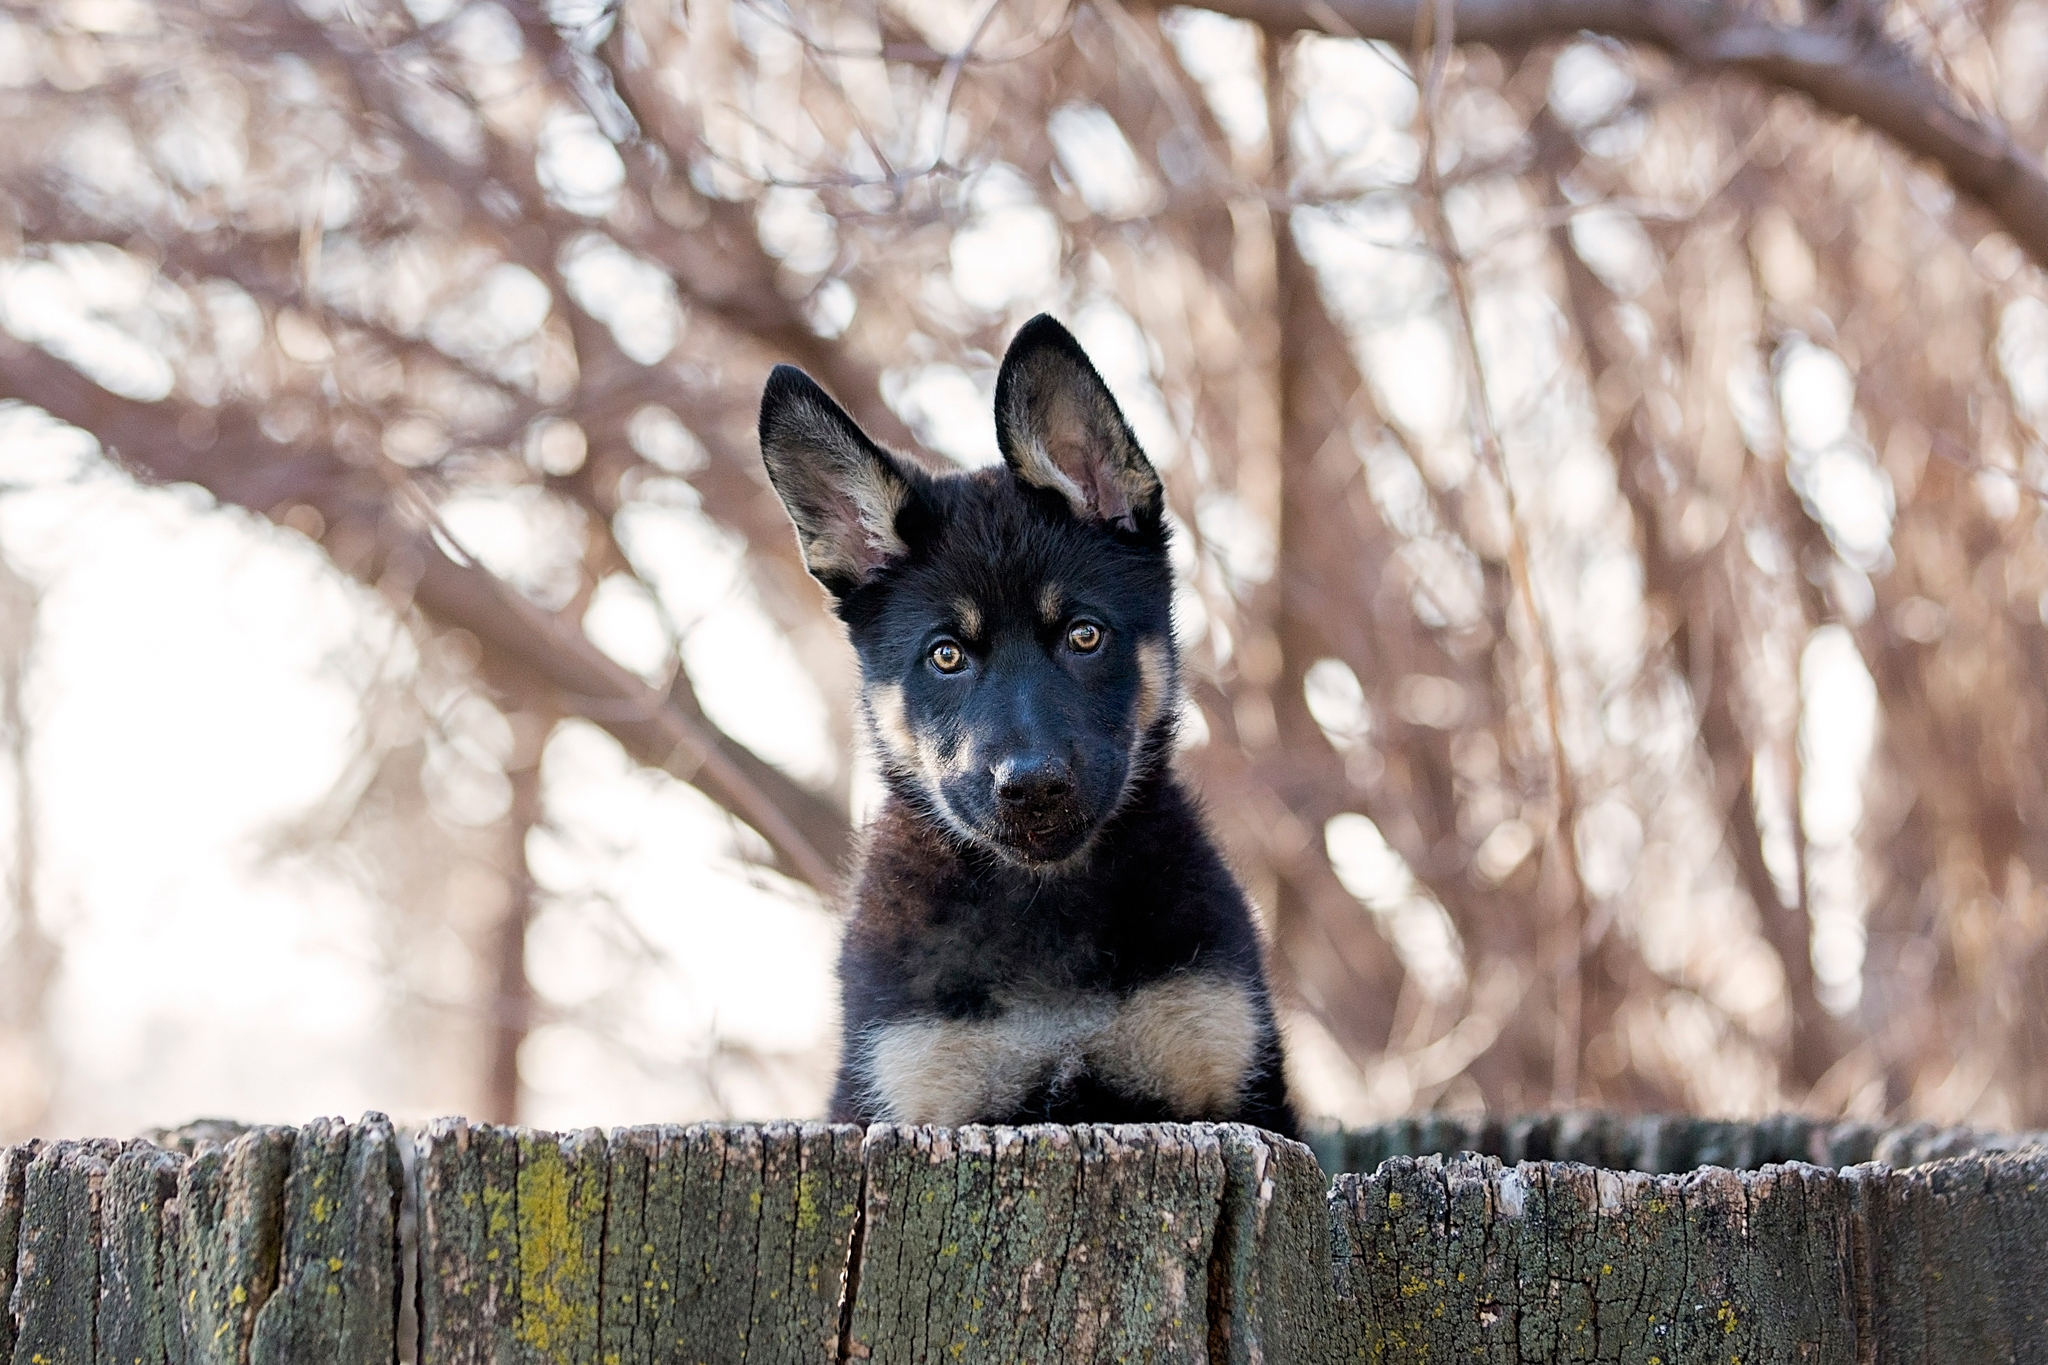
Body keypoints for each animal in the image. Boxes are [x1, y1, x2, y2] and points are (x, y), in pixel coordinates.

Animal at [753, 315, 1294, 1137]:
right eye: (946, 655)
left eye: (1083, 635)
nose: (1032, 785)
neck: (1044, 906)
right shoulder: (920, 1084)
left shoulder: (1228, 1075)